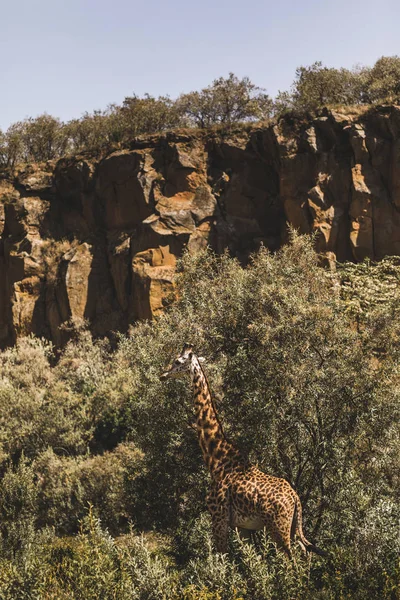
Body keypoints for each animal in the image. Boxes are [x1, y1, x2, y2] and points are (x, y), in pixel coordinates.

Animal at [161, 344, 326, 560]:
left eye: (177, 361)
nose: (163, 375)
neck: (217, 458)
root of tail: (296, 499)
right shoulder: (242, 526)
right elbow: (250, 560)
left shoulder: (218, 518)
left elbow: (222, 559)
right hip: (292, 528)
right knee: (305, 554)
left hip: (278, 528)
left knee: (291, 560)